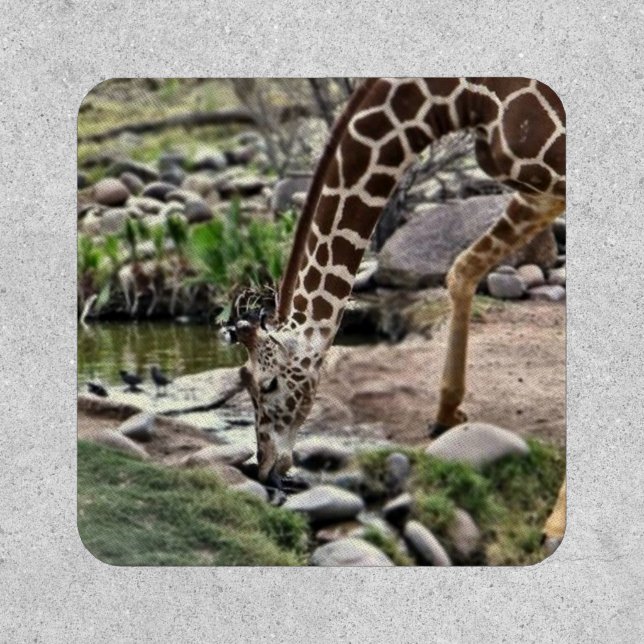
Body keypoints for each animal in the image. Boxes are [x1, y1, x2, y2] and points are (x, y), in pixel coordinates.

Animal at [228, 77, 566, 539]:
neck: (467, 98)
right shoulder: (541, 191)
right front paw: (446, 414)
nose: (264, 469)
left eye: (268, 385)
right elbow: (461, 269)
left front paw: (556, 523)